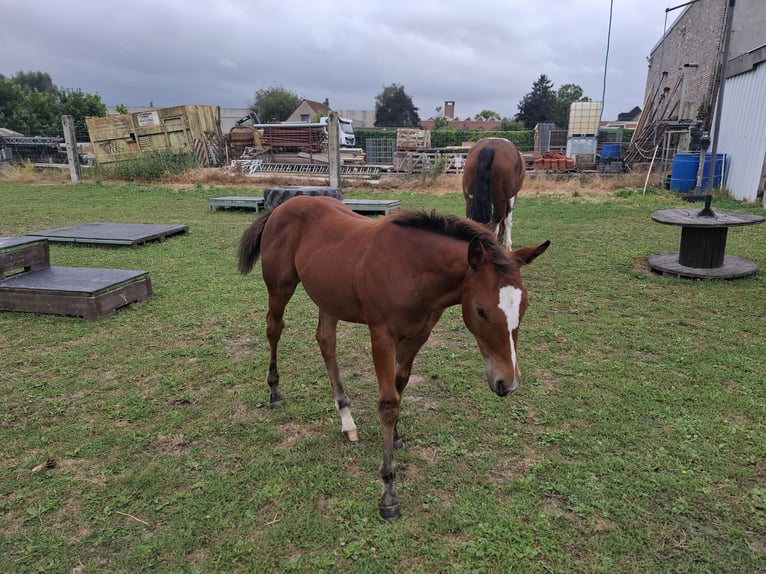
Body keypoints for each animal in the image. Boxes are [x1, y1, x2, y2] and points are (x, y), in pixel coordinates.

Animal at [238, 195, 549, 520]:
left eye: (524, 306)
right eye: (480, 310)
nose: (507, 382)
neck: (411, 268)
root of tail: (282, 206)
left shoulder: (418, 335)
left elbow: (400, 384)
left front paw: (396, 436)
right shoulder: (381, 336)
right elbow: (388, 403)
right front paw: (388, 493)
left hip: (329, 296)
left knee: (326, 342)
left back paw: (347, 420)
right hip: (280, 288)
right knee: (274, 329)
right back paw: (275, 392)